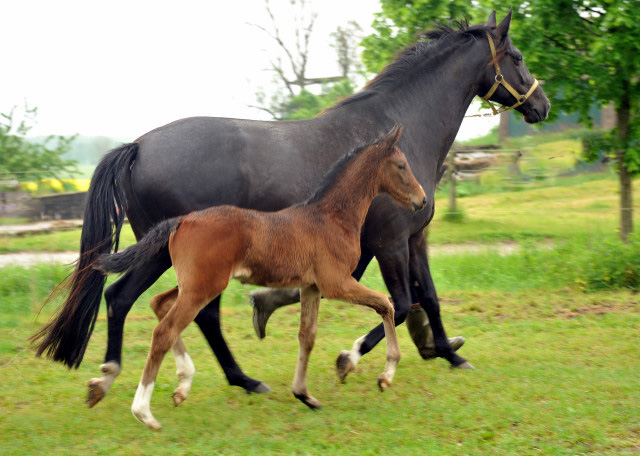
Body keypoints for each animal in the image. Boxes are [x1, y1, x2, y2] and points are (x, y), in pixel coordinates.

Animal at [96, 125, 424, 432]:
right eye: (401, 165)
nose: (421, 199)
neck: (331, 217)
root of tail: (181, 221)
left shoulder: (311, 287)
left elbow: (307, 336)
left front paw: (305, 395)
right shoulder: (337, 283)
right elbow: (386, 304)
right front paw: (385, 375)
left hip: (194, 284)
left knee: (158, 303)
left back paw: (182, 385)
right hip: (203, 287)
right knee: (165, 330)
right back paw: (144, 412)